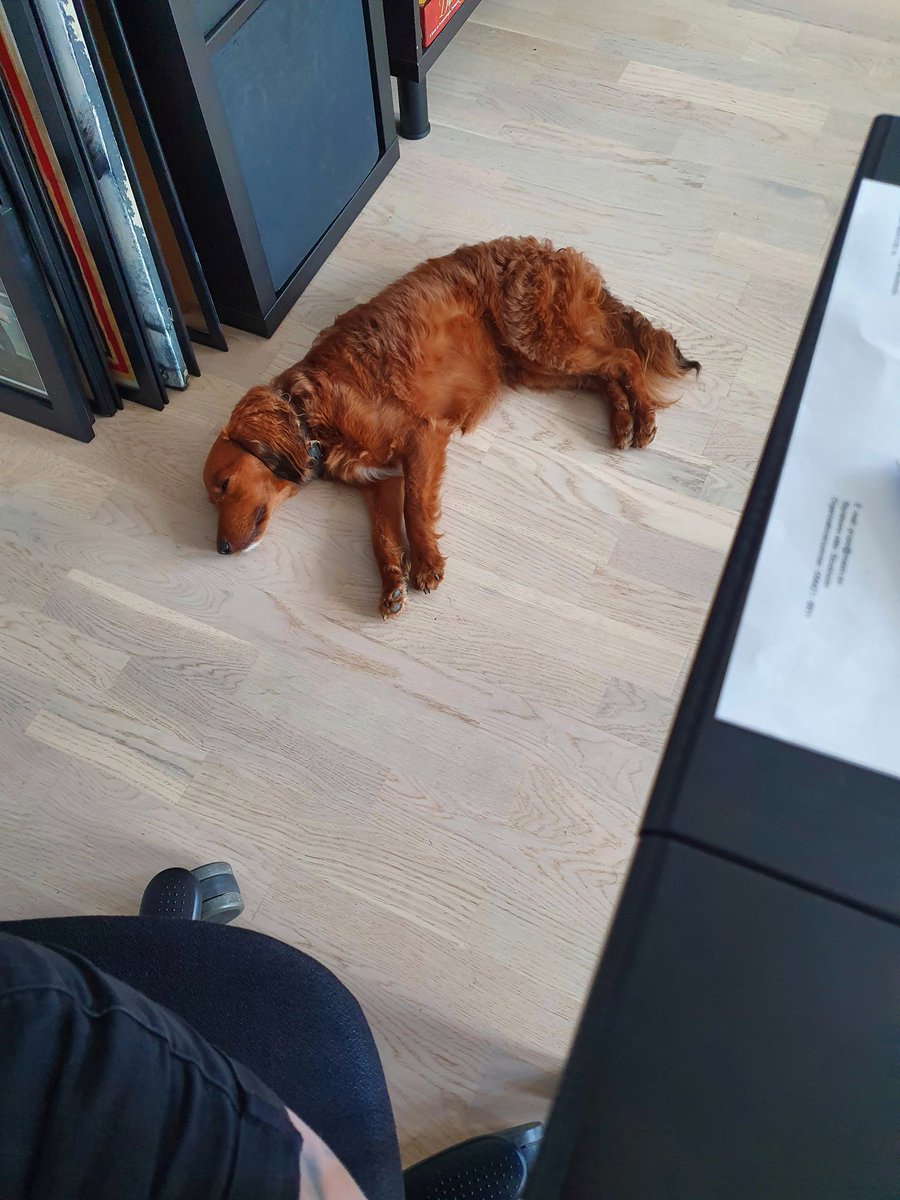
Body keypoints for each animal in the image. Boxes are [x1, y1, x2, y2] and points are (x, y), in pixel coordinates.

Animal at [203, 237, 699, 618]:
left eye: (225, 485)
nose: (219, 549)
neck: (311, 414)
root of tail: (551, 250)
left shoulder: (421, 437)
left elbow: (415, 509)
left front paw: (424, 564)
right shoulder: (377, 484)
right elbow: (381, 536)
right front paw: (391, 584)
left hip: (542, 345)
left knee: (625, 359)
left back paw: (643, 419)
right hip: (537, 367)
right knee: (605, 375)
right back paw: (621, 420)